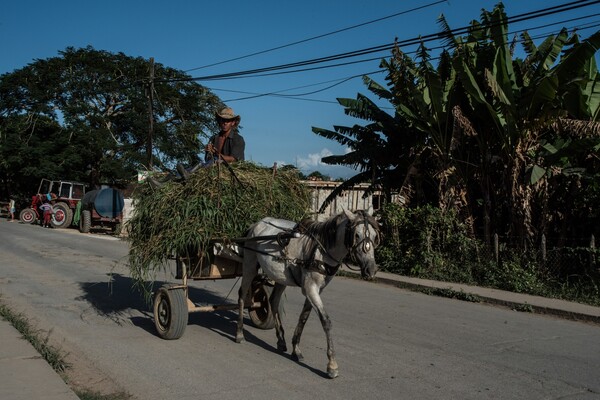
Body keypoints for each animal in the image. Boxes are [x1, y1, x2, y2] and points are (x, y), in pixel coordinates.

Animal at [236, 209, 380, 378]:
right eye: (356, 235)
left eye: (374, 236)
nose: (371, 269)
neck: (321, 251)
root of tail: (257, 224)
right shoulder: (310, 288)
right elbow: (326, 321)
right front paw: (332, 364)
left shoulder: (316, 289)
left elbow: (304, 317)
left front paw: (296, 349)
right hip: (250, 265)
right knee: (242, 295)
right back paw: (239, 333)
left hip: (280, 276)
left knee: (273, 301)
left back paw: (281, 340)